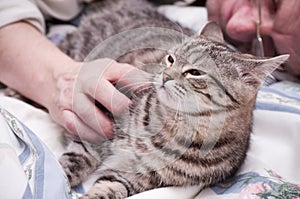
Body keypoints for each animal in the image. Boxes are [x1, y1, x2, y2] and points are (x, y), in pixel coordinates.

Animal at [57, 0, 288, 199]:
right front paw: (62, 178)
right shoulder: (97, 123)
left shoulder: (138, 175)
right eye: (170, 59)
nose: (165, 76)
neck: (171, 127)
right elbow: (74, 160)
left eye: (195, 72)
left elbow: (108, 187)